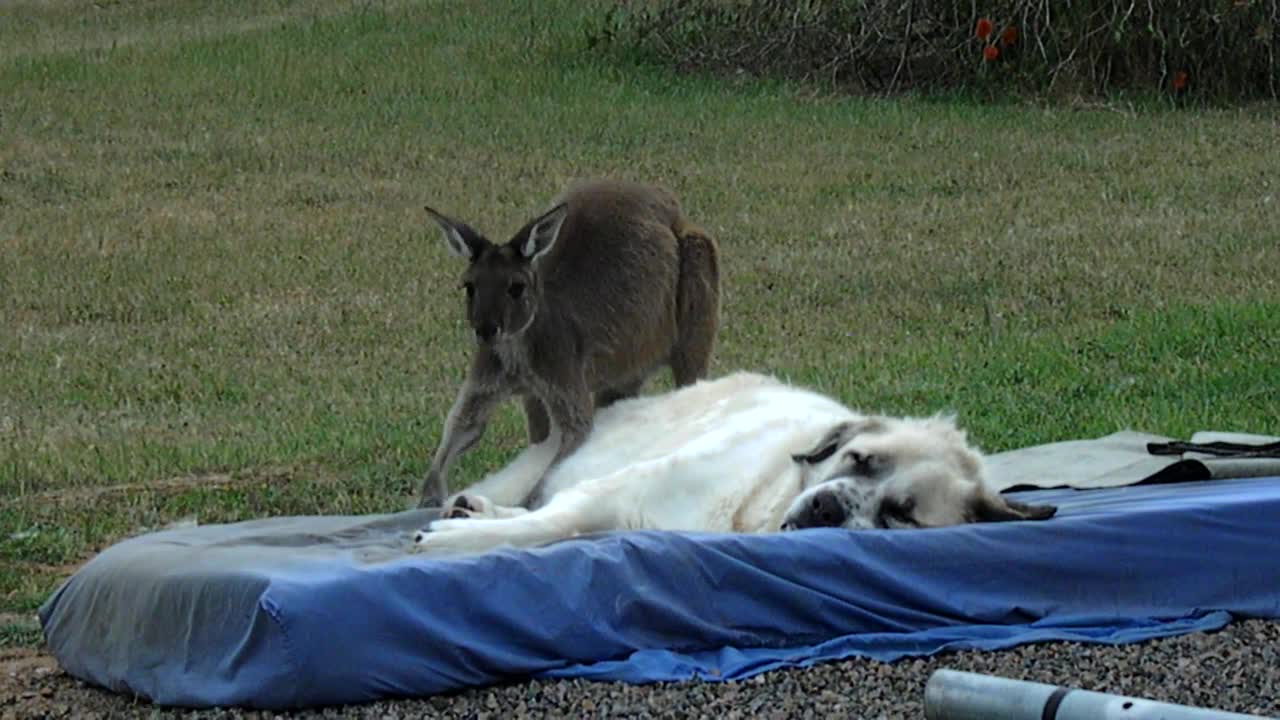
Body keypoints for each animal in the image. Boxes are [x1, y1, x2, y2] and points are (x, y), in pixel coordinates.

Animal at [414, 371, 1054, 550]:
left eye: (901, 514)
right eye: (857, 459)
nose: (825, 507)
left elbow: (554, 525)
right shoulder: (619, 489)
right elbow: (551, 522)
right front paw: (456, 539)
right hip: (552, 451)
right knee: (531, 494)